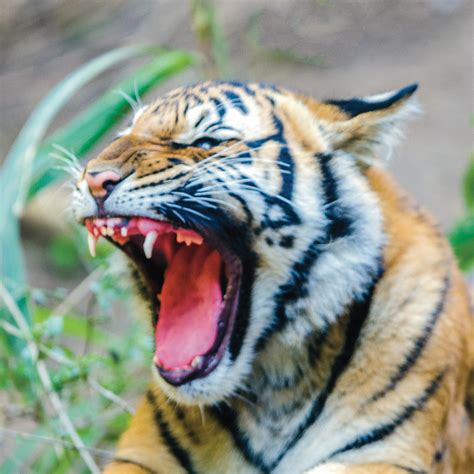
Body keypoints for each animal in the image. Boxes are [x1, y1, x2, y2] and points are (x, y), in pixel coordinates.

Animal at [71, 79, 474, 472]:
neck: (277, 383)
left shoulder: (390, 456)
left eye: (205, 143)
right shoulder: (140, 455)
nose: (95, 179)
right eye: (120, 136)